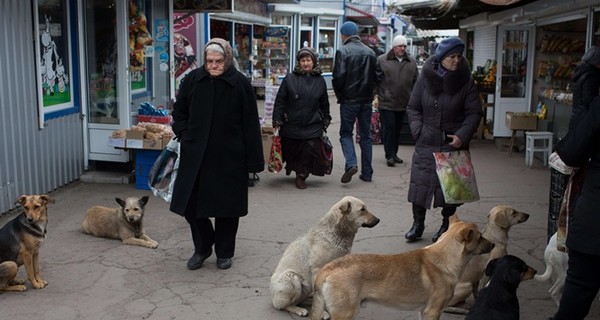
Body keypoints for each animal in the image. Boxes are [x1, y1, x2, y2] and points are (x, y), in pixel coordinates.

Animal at [310, 215, 492, 320]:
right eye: (480, 237)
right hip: (346, 314)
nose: (493, 244)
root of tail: (328, 268)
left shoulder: (424, 312)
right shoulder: (433, 312)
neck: (445, 258)